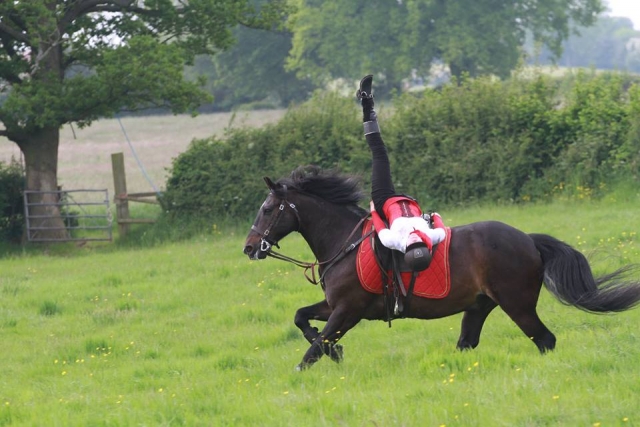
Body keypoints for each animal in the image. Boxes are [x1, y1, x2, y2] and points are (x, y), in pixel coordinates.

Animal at [243, 166, 640, 370]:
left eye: (267, 209)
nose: (249, 247)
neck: (345, 242)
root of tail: (527, 239)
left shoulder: (348, 310)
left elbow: (312, 350)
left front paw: (321, 359)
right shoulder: (334, 306)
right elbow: (302, 319)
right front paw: (335, 353)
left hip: (517, 304)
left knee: (545, 340)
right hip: (480, 306)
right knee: (468, 343)